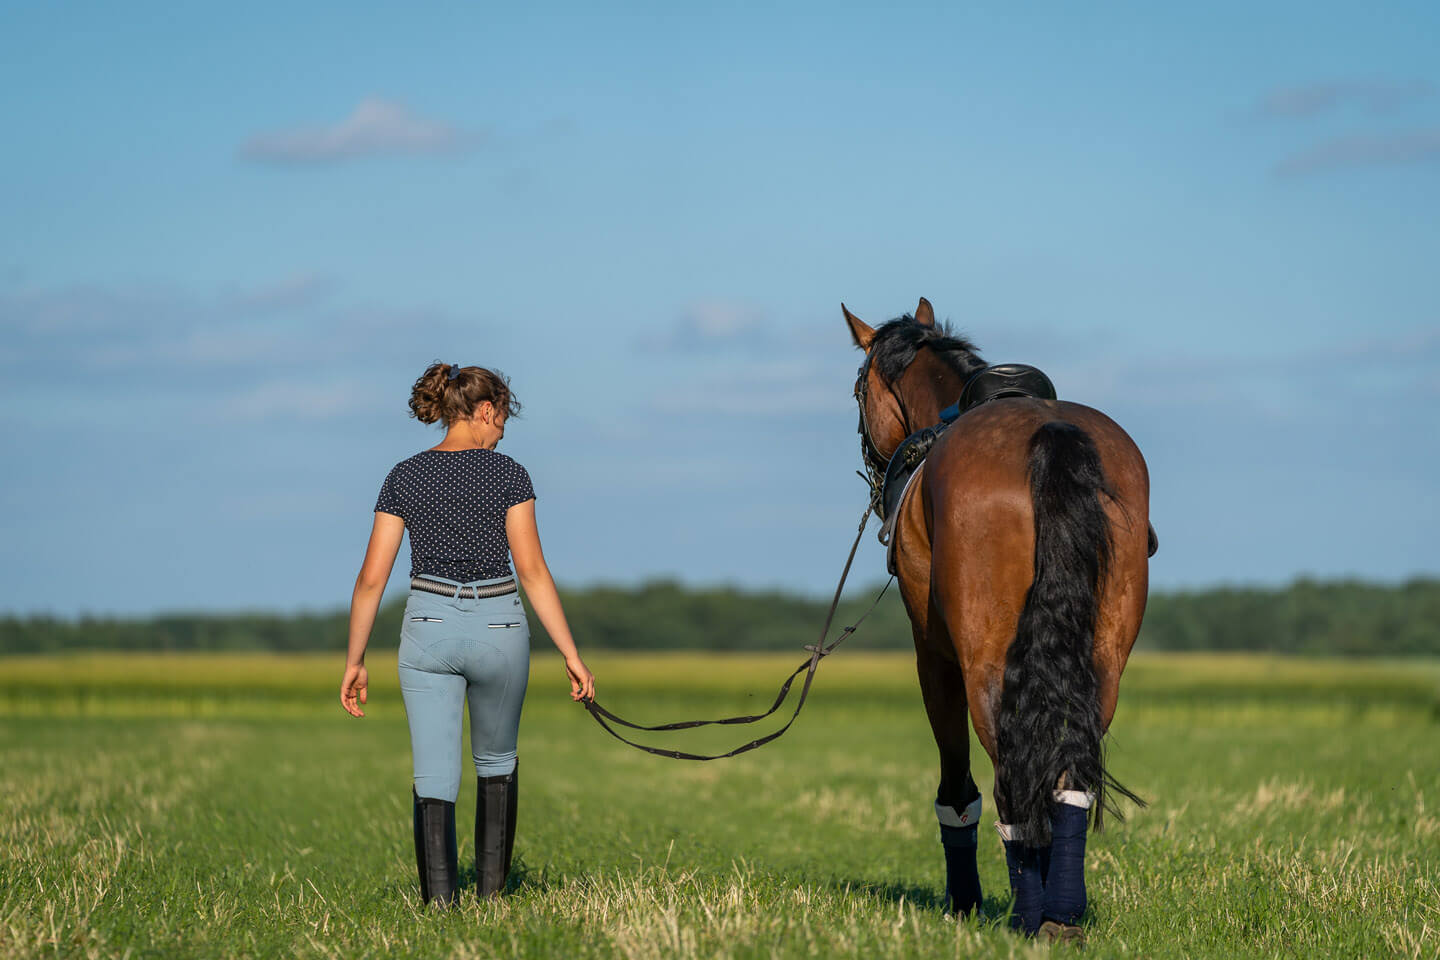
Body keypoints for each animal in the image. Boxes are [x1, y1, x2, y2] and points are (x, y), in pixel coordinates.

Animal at [843, 298, 1151, 941]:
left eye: (859, 387)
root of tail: (1050, 434)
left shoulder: (933, 657)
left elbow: (956, 786)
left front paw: (964, 900)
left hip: (986, 662)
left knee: (1012, 778)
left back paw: (1033, 917)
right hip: (1104, 659)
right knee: (1068, 776)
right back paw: (1061, 913)